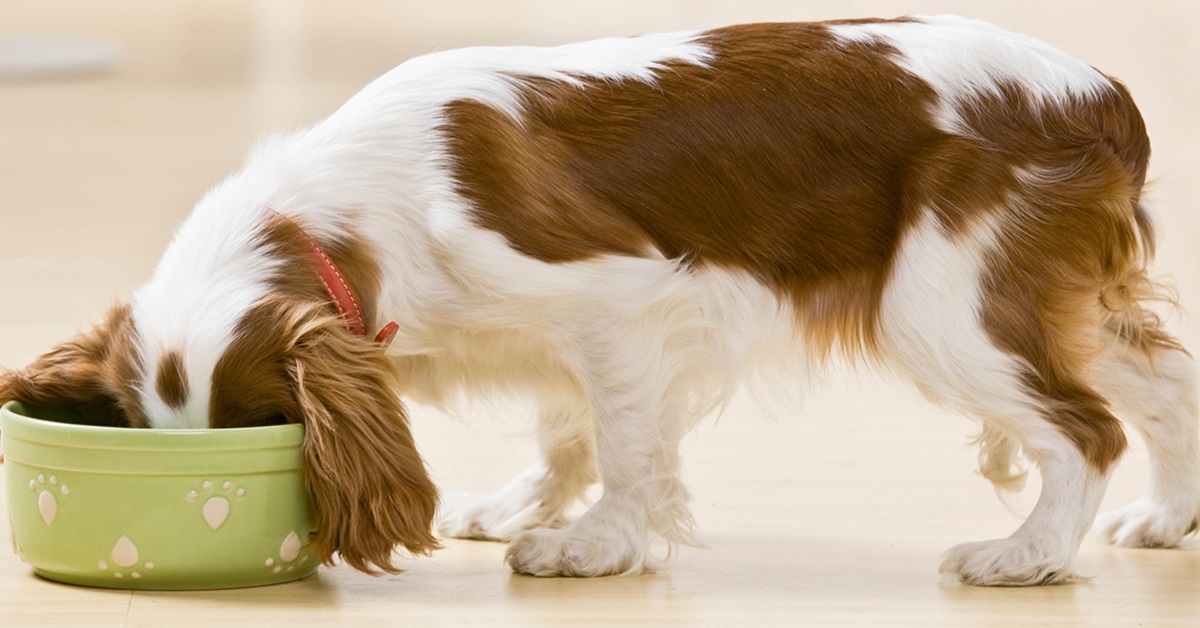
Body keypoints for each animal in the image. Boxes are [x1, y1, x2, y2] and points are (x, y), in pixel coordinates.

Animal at [2, 13, 1200, 585]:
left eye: (261, 427)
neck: (348, 212)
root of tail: (1100, 94)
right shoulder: (557, 338)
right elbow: (567, 425)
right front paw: (527, 505)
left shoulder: (617, 301)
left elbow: (625, 442)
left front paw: (593, 545)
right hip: (1049, 295)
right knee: (1164, 387)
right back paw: (1165, 520)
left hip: (944, 305)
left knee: (1083, 429)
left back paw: (1025, 557)